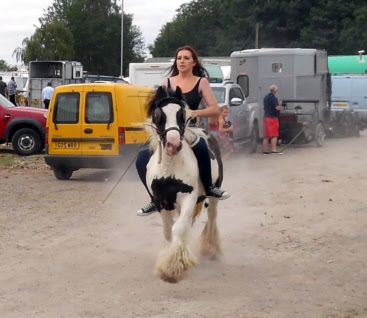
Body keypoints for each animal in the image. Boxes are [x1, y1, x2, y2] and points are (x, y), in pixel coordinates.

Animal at [145, 85, 223, 282]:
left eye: (182, 114)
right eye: (158, 114)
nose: (173, 144)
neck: (170, 167)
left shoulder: (188, 197)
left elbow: (179, 228)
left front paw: (173, 266)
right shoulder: (161, 201)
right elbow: (168, 231)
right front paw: (170, 257)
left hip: (213, 194)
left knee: (212, 216)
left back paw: (210, 248)